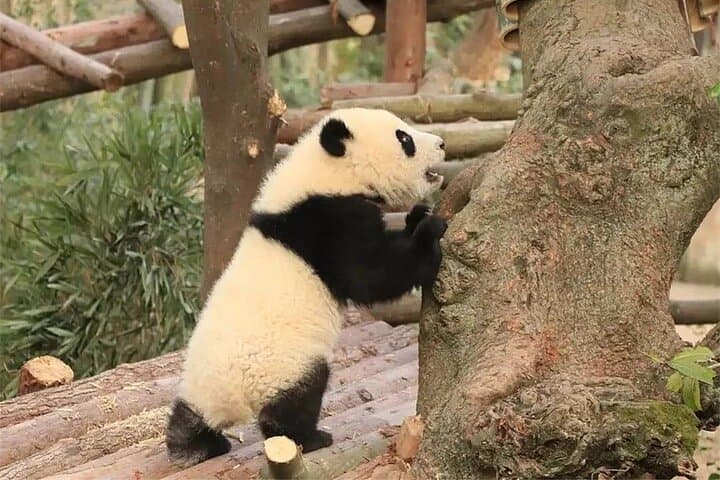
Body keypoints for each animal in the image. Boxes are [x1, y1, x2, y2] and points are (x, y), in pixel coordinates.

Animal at [165, 107, 448, 465]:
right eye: (404, 139)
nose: (441, 143)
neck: (324, 172)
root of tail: (229, 398)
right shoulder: (328, 223)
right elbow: (371, 275)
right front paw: (430, 231)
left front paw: (417, 216)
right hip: (285, 364)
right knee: (295, 402)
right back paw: (311, 437)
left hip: (198, 382)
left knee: (187, 415)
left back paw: (194, 445)